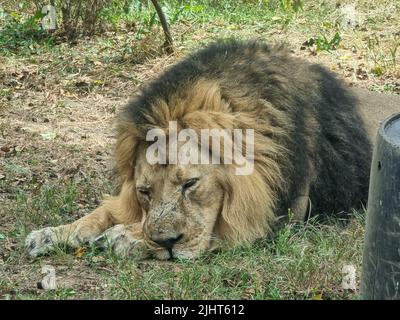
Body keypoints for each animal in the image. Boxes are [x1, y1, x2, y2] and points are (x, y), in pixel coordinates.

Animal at [25, 39, 372, 260]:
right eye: (144, 192)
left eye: (190, 184)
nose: (167, 244)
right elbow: (103, 212)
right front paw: (53, 233)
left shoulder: (277, 214)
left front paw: (125, 236)